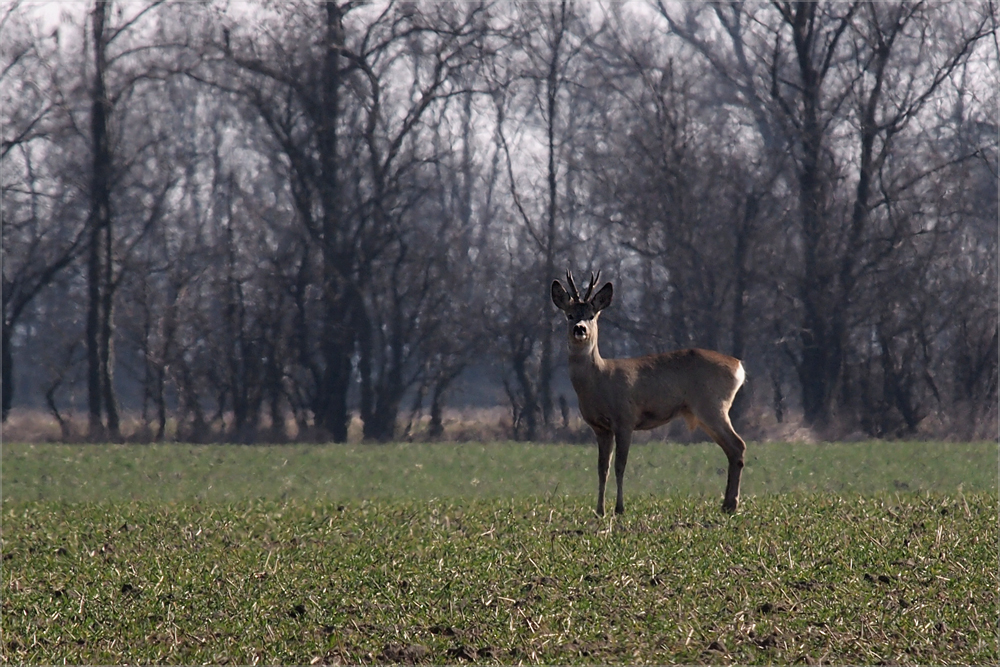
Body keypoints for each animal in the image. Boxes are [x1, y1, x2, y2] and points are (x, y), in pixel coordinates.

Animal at [552, 272, 748, 516]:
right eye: (569, 315)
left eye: (591, 315)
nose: (580, 329)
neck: (600, 381)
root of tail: (738, 366)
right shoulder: (600, 428)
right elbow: (602, 468)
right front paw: (600, 510)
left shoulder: (625, 418)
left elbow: (620, 465)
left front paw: (619, 508)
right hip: (707, 411)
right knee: (732, 449)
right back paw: (727, 504)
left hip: (712, 405)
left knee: (738, 445)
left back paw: (731, 504)